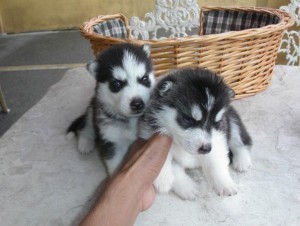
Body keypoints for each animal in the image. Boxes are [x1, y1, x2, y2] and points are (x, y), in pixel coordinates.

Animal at [67, 43, 155, 176]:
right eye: (117, 84)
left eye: (144, 79)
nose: (137, 104)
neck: (131, 120)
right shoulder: (112, 140)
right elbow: (115, 167)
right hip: (93, 108)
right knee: (84, 126)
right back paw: (85, 143)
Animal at [139, 68, 252, 200]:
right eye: (188, 119)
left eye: (216, 123)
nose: (206, 149)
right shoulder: (147, 133)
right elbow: (171, 164)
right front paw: (168, 180)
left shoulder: (218, 137)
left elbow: (216, 161)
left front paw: (225, 184)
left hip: (232, 119)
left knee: (241, 141)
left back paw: (242, 162)